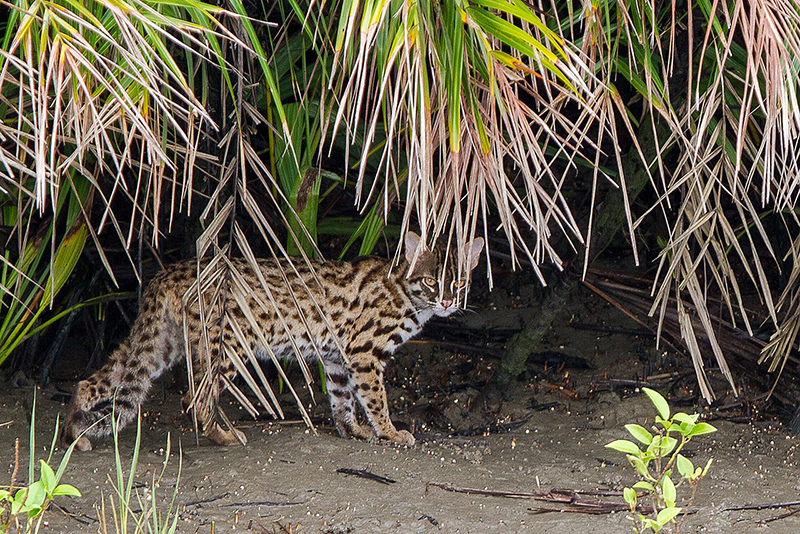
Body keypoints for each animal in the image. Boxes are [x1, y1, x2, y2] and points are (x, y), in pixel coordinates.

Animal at [64, 234, 482, 452]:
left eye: (460, 281)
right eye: (431, 281)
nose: (449, 301)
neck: (407, 294)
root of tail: (167, 272)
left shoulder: (337, 356)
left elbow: (342, 398)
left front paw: (352, 430)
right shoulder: (364, 353)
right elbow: (375, 399)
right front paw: (390, 432)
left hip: (161, 344)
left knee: (93, 382)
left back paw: (75, 431)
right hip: (227, 345)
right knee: (194, 399)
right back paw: (223, 435)